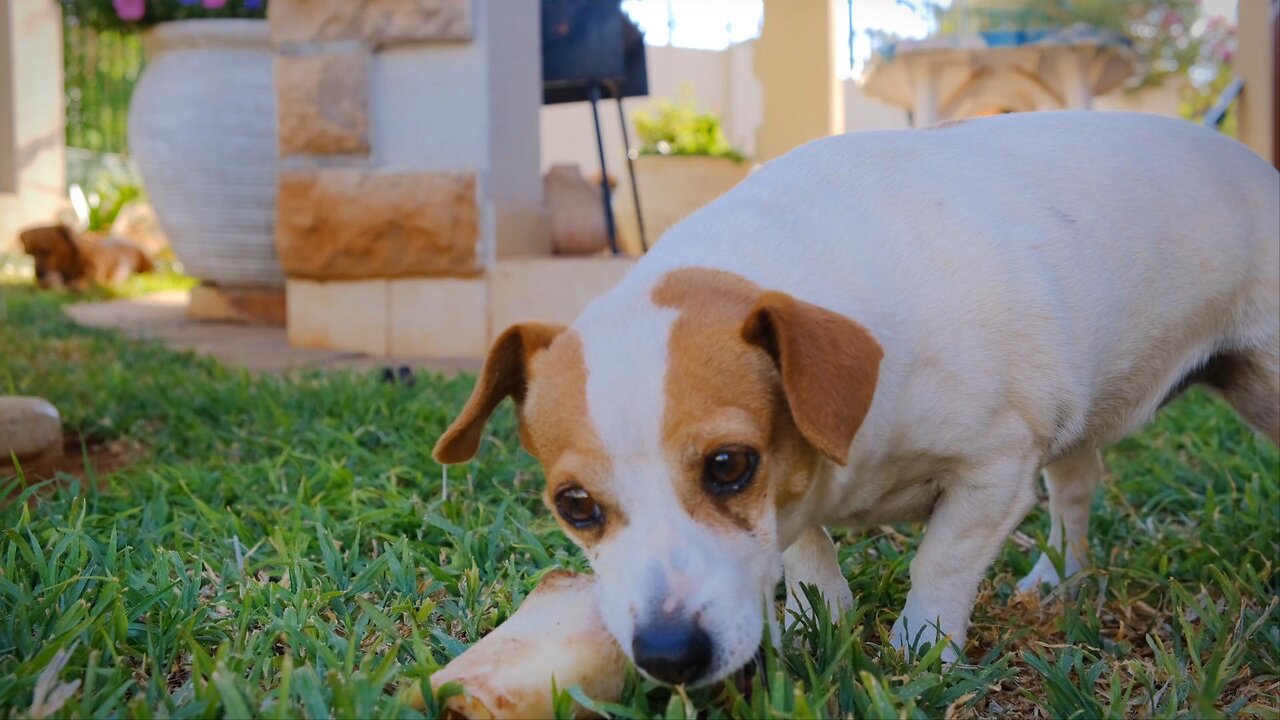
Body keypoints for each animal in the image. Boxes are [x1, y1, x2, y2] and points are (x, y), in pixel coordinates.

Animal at [432, 112, 1280, 681]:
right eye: (575, 506)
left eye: (729, 465)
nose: (670, 656)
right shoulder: (803, 493)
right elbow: (809, 556)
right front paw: (823, 625)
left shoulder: (994, 470)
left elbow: (940, 563)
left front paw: (921, 648)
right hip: (1079, 412)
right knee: (1076, 493)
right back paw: (1055, 581)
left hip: (1261, 383)